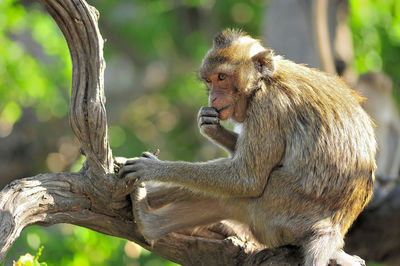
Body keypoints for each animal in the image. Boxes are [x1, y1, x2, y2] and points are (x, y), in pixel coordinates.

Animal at [118, 28, 376, 264]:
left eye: (222, 77)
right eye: (209, 80)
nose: (212, 98)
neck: (265, 81)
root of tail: (331, 230)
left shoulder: (268, 107)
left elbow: (247, 179)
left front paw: (153, 169)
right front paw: (212, 127)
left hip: (281, 208)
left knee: (236, 194)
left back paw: (148, 220)